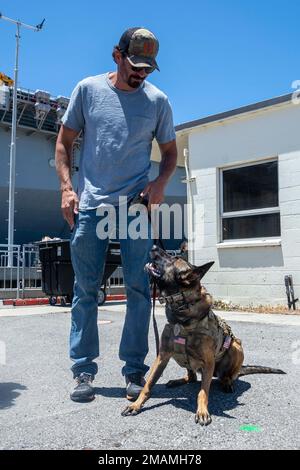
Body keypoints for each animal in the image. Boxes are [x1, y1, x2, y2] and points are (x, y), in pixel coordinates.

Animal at [120, 246, 284, 426]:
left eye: (172, 258)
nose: (154, 247)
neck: (182, 314)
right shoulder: (162, 356)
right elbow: (148, 385)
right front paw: (136, 405)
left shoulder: (208, 363)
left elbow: (203, 392)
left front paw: (202, 412)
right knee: (191, 377)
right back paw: (179, 380)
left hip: (236, 347)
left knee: (228, 375)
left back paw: (226, 382)